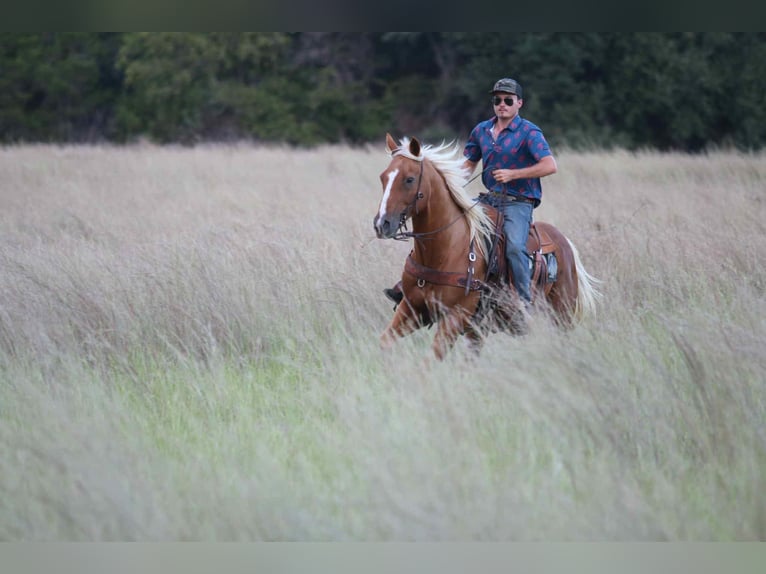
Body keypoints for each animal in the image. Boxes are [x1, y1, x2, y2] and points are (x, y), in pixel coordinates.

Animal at [373, 133, 601, 359]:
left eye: (409, 179)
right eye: (383, 177)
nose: (381, 224)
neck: (443, 250)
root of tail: (565, 243)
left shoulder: (455, 316)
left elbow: (432, 358)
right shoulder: (411, 309)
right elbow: (384, 342)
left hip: (562, 316)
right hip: (479, 330)